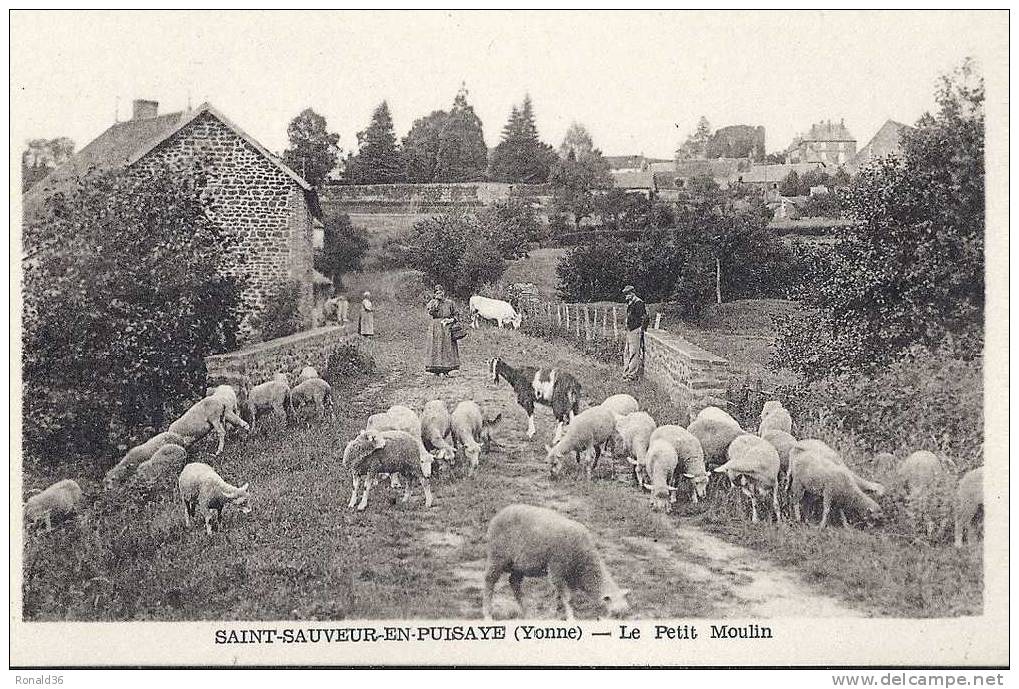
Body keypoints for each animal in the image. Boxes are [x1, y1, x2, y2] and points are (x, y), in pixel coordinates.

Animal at [478, 503, 627, 619]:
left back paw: (526, 611)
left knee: (514, 582)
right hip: (497, 556)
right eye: (615, 615)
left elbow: (561, 596)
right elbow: (567, 597)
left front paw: (555, 611)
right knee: (489, 580)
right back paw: (487, 614)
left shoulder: (568, 577)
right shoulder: (557, 569)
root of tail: (498, 515)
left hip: (518, 565)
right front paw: (570, 617)